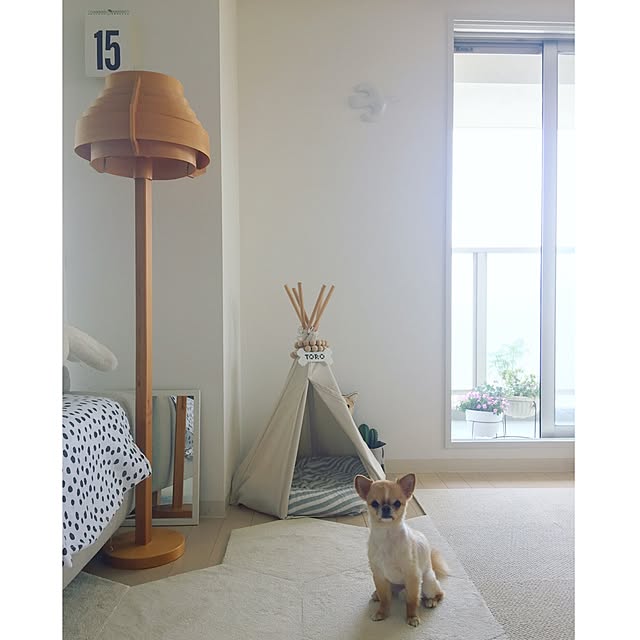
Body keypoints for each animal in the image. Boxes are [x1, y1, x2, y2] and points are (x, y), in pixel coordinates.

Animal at [354, 473, 448, 627]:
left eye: (397, 503)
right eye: (374, 503)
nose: (386, 508)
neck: (387, 536)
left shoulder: (412, 576)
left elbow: (412, 601)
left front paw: (412, 617)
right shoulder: (379, 576)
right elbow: (385, 600)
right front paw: (382, 613)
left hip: (427, 583)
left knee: (439, 593)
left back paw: (431, 601)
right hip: (390, 584)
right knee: (386, 594)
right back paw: (376, 594)